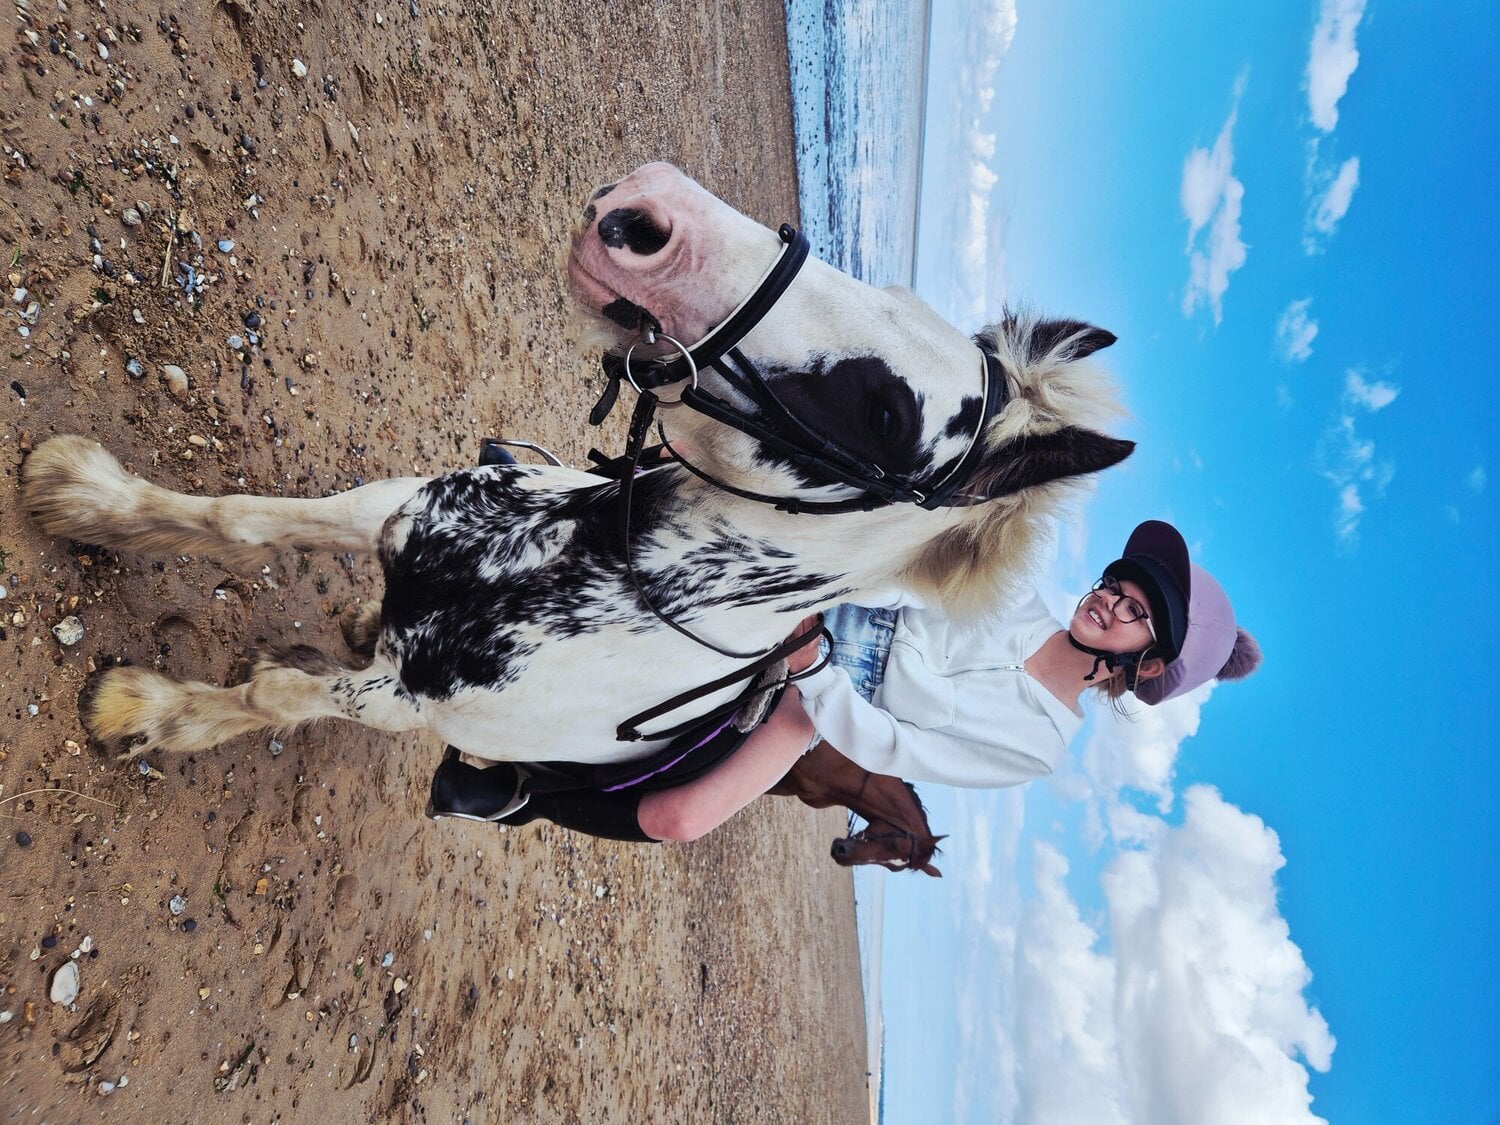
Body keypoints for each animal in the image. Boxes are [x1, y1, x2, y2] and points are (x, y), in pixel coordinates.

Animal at [21, 162, 1131, 772]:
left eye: (887, 412)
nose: (645, 215)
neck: (580, 564)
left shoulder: (398, 701)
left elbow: (276, 701)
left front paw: (146, 712)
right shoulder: (388, 510)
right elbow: (238, 518)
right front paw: (81, 495)